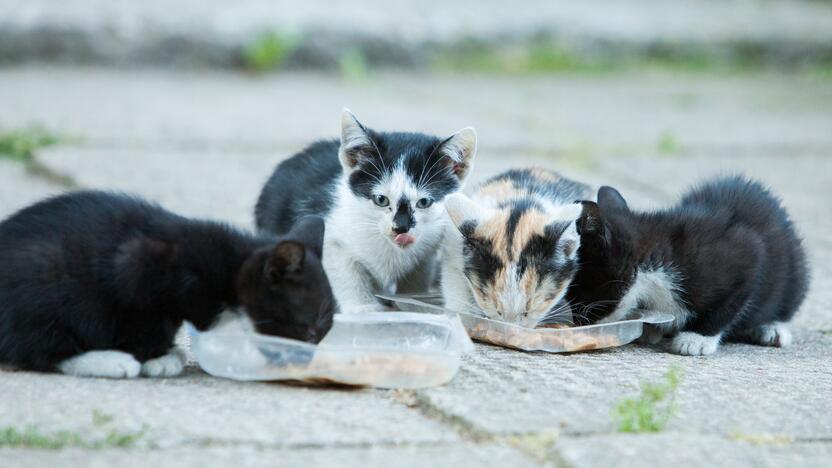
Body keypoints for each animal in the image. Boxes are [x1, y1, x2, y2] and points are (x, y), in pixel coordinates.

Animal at [1, 192, 338, 378]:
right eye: (310, 332)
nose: (306, 362)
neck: (228, 265)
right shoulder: (137, 271)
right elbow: (147, 324)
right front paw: (158, 357)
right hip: (51, 292)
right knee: (40, 348)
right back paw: (108, 360)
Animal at [254, 109, 474, 312]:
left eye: (424, 202)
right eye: (381, 200)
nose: (401, 228)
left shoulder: (427, 250)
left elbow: (417, 276)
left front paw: (412, 304)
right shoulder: (328, 233)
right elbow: (345, 272)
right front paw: (362, 308)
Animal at [568, 177, 808, 356]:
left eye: (575, 288)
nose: (574, 320)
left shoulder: (746, 255)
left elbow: (726, 306)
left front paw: (697, 338)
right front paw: (651, 328)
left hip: (795, 272)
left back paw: (773, 328)